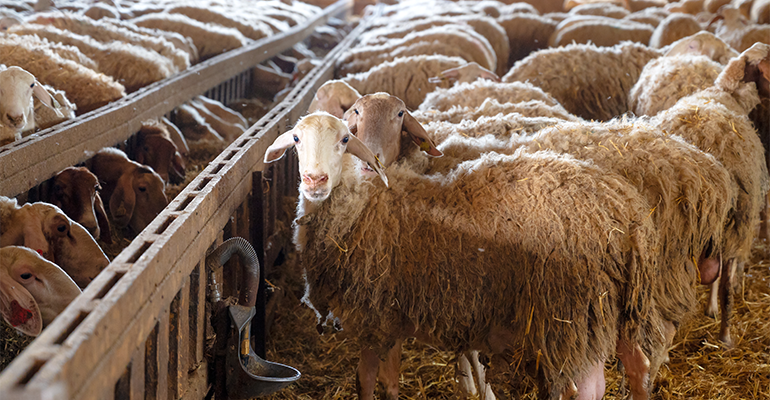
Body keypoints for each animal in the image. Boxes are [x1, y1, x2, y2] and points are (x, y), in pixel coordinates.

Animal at [264, 112, 661, 400]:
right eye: (296, 139)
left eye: (345, 140)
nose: (314, 180)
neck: (363, 205)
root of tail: (623, 207)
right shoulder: (393, 319)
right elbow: (389, 381)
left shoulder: (374, 318)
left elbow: (365, 381)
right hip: (618, 306)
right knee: (638, 364)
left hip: (568, 314)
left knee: (584, 389)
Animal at [651, 43, 770, 346]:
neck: (726, 94)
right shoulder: (731, 227)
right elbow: (722, 281)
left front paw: (709, 307)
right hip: (733, 223)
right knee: (727, 284)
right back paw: (726, 337)